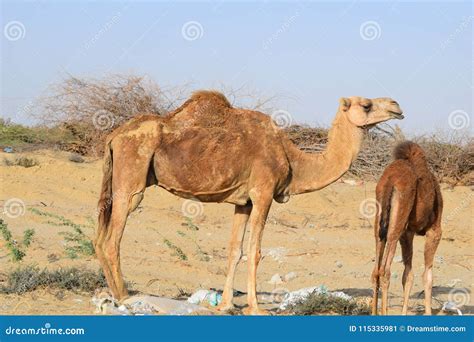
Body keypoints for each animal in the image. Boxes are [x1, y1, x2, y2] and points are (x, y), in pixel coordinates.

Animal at [372, 140, 442, 314]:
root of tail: (390, 179)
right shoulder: (434, 231)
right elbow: (427, 276)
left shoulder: (407, 233)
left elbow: (408, 275)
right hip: (398, 220)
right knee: (385, 270)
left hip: (380, 220)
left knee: (376, 270)